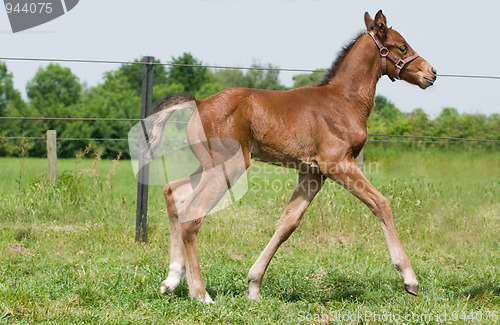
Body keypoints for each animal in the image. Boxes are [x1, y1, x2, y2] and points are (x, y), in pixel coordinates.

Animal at [156, 9, 438, 302]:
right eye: (402, 46)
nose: (431, 72)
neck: (344, 102)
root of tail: (198, 103)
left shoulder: (312, 172)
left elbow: (288, 223)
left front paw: (254, 286)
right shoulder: (337, 163)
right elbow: (380, 203)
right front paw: (409, 278)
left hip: (208, 165)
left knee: (173, 192)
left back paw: (171, 280)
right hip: (229, 166)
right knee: (193, 215)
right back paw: (201, 294)